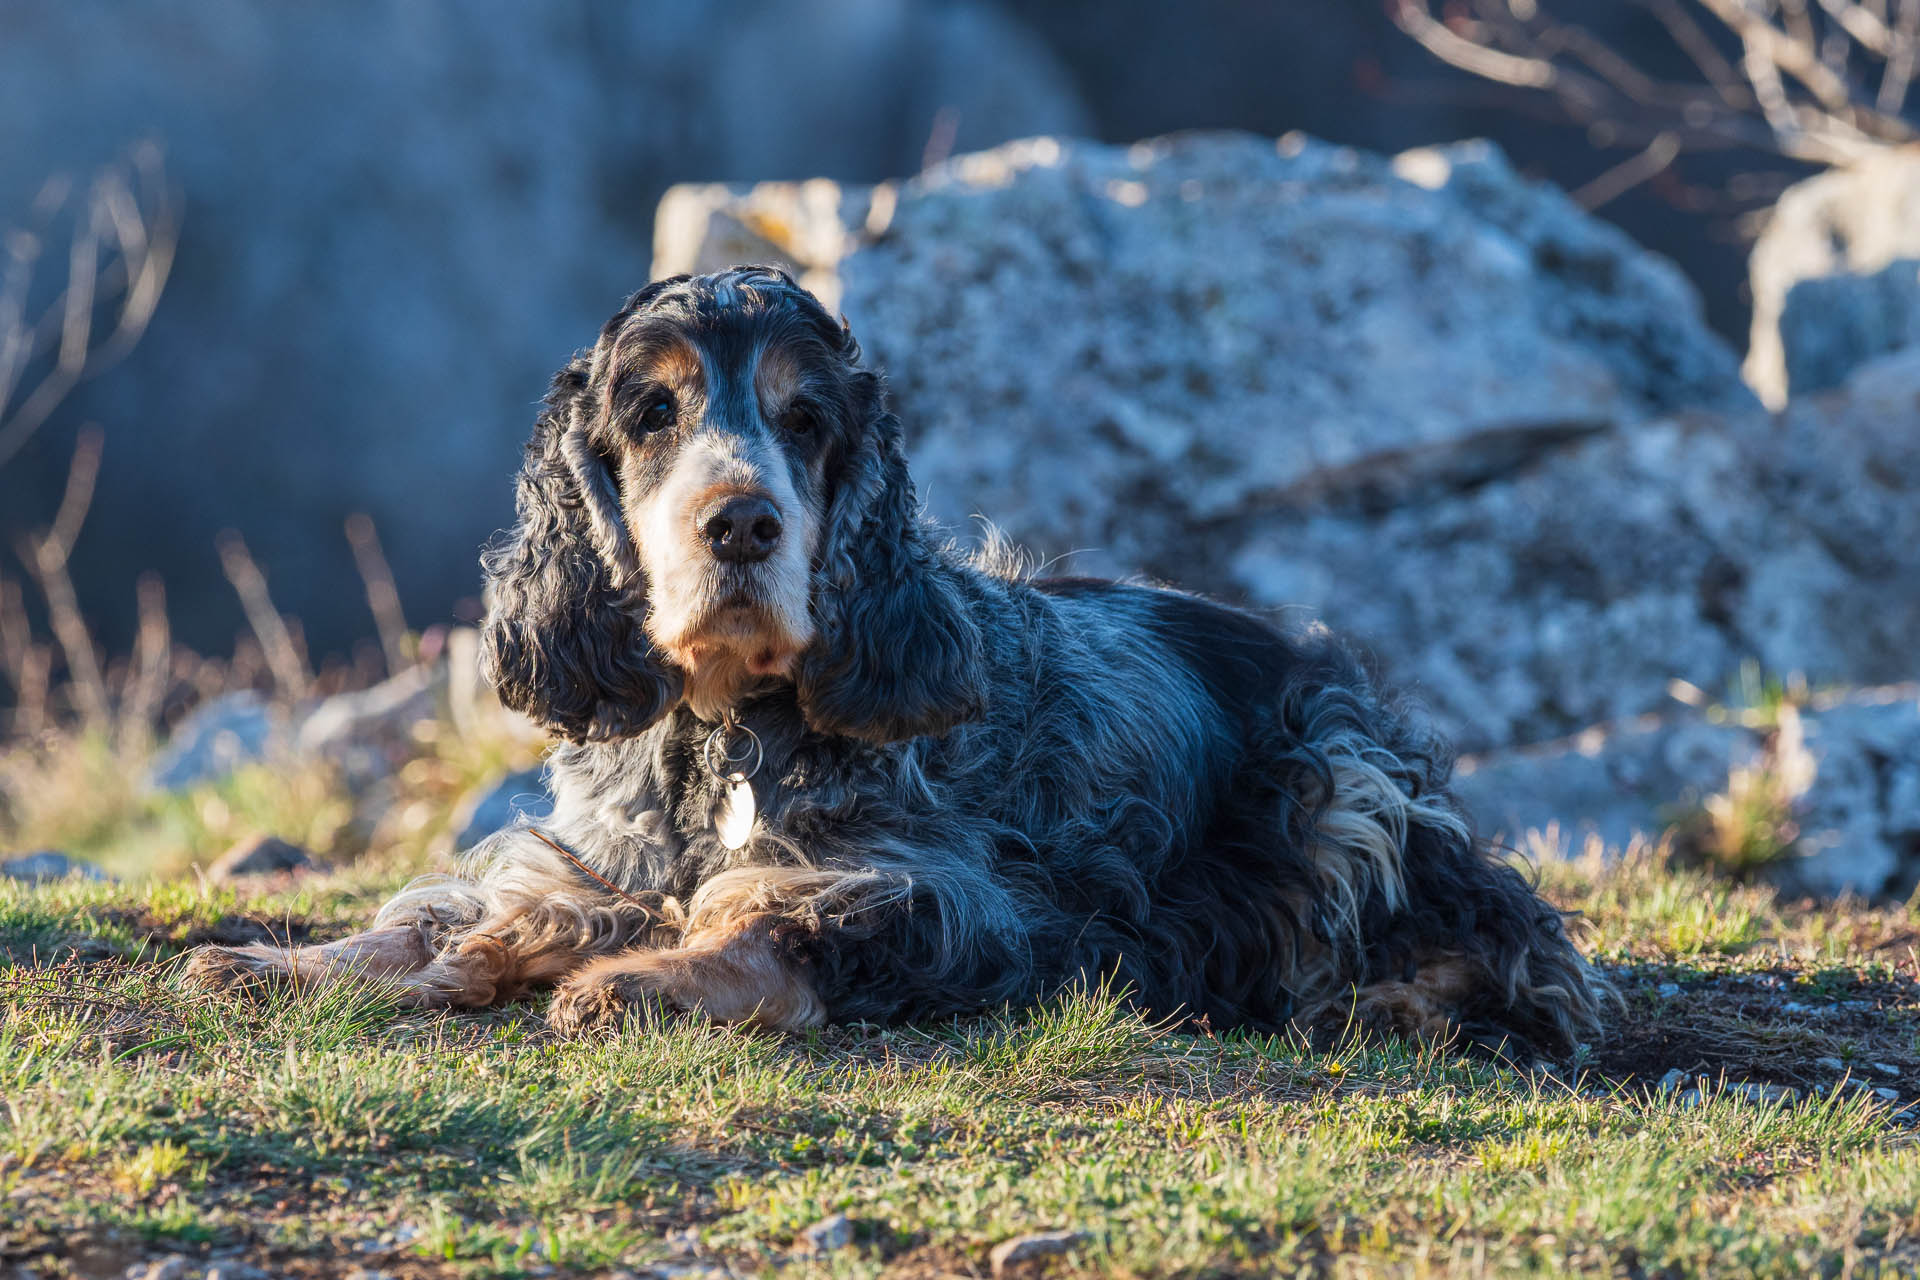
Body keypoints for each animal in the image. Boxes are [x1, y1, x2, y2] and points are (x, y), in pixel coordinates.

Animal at [191, 264, 1605, 1059]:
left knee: (1525, 950)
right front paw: (273, 960)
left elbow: (781, 926)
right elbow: (443, 913)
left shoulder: (953, 898)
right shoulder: (579, 858)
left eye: (808, 419)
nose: (741, 523)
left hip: (1340, 786)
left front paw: (636, 979)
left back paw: (1398, 1004)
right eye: (651, 413)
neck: (717, 738)